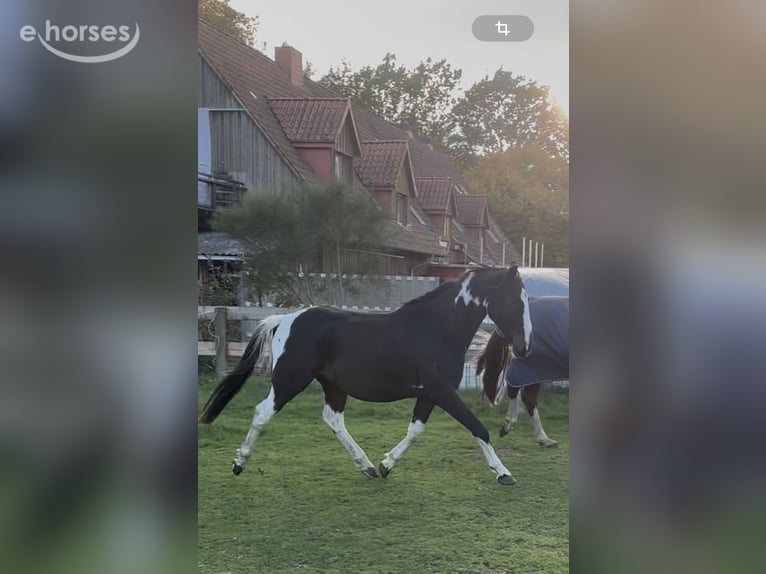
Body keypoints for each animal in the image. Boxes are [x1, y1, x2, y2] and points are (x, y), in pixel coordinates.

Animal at [199, 266, 532, 485]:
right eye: (514, 300)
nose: (525, 347)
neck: (437, 329)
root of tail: (284, 320)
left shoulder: (429, 394)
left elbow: (415, 430)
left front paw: (386, 465)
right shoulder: (442, 391)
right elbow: (478, 428)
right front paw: (504, 473)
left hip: (333, 386)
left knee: (333, 420)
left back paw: (367, 467)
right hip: (289, 381)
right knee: (261, 412)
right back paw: (239, 463)